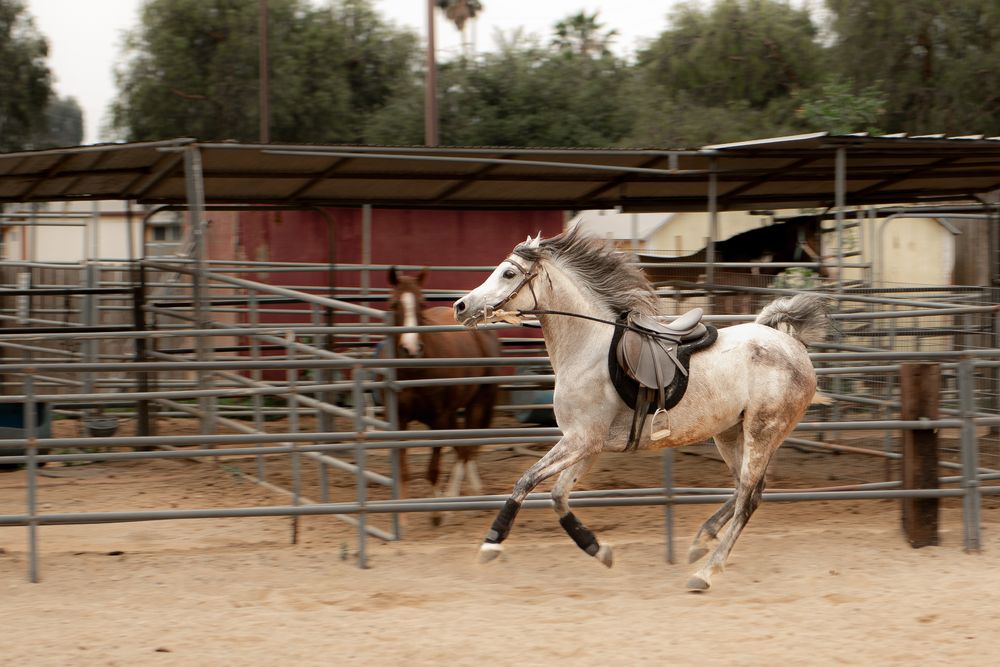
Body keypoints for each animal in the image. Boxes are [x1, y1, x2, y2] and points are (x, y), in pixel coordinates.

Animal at [384, 267, 501, 524]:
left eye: (421, 302)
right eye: (394, 303)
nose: (411, 349)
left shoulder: (437, 420)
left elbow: (433, 469)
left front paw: (437, 513)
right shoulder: (400, 421)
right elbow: (404, 470)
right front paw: (402, 517)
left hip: (478, 403)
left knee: (466, 450)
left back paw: (454, 502)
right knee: (462, 449)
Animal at [452, 227, 829, 590]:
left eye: (508, 273)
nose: (460, 305)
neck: (588, 348)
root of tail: (792, 344)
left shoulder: (580, 440)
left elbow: (525, 481)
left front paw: (491, 543)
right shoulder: (587, 444)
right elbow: (559, 496)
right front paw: (598, 550)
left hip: (762, 432)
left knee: (749, 497)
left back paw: (706, 572)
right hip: (729, 433)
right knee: (743, 490)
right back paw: (701, 540)